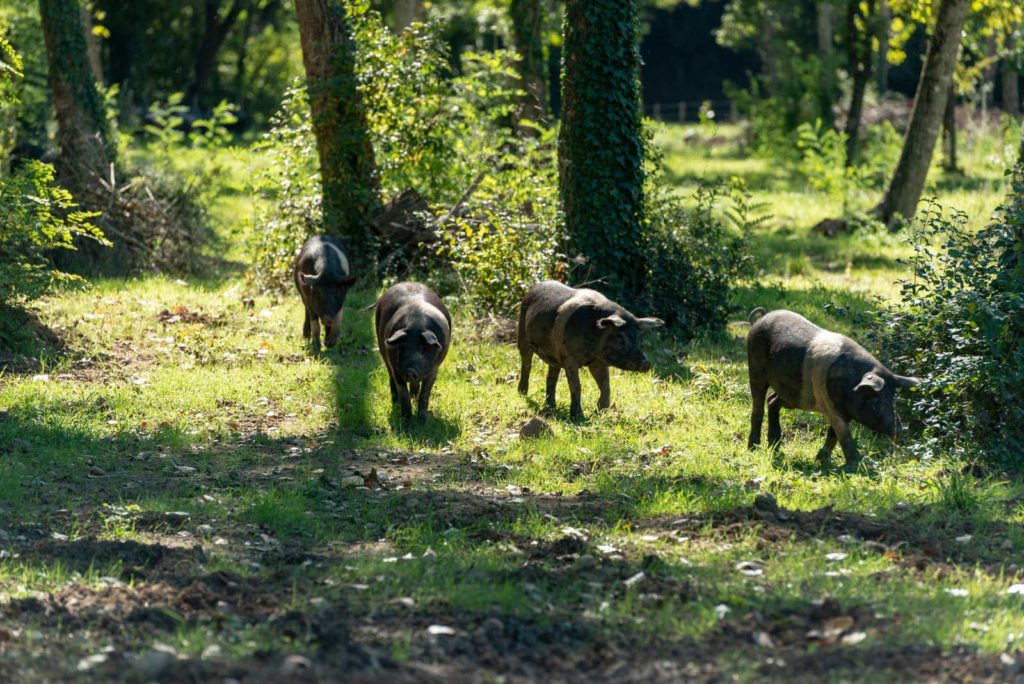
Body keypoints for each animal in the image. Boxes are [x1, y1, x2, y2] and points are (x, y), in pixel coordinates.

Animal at [374, 282, 450, 421]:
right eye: (402, 347)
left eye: (424, 348)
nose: (410, 371)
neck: (416, 324)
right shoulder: (396, 368)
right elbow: (403, 393)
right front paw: (407, 421)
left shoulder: (434, 369)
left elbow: (425, 394)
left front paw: (422, 421)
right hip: (383, 350)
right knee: (391, 379)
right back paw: (396, 404)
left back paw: (414, 400)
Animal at [516, 280, 667, 419]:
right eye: (620, 337)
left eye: (636, 338)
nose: (646, 363)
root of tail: (533, 287)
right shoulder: (569, 359)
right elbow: (577, 387)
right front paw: (578, 417)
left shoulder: (598, 363)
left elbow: (606, 386)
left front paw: (602, 412)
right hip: (522, 336)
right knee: (526, 364)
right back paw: (522, 393)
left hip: (554, 356)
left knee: (551, 377)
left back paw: (551, 406)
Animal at [745, 309, 921, 471]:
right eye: (875, 400)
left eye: (894, 398)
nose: (899, 430)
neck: (851, 385)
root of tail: (762, 318)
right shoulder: (832, 407)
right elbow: (844, 436)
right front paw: (854, 466)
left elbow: (833, 435)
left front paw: (821, 461)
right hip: (755, 366)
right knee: (758, 407)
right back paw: (753, 448)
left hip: (792, 393)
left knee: (772, 401)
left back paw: (774, 446)